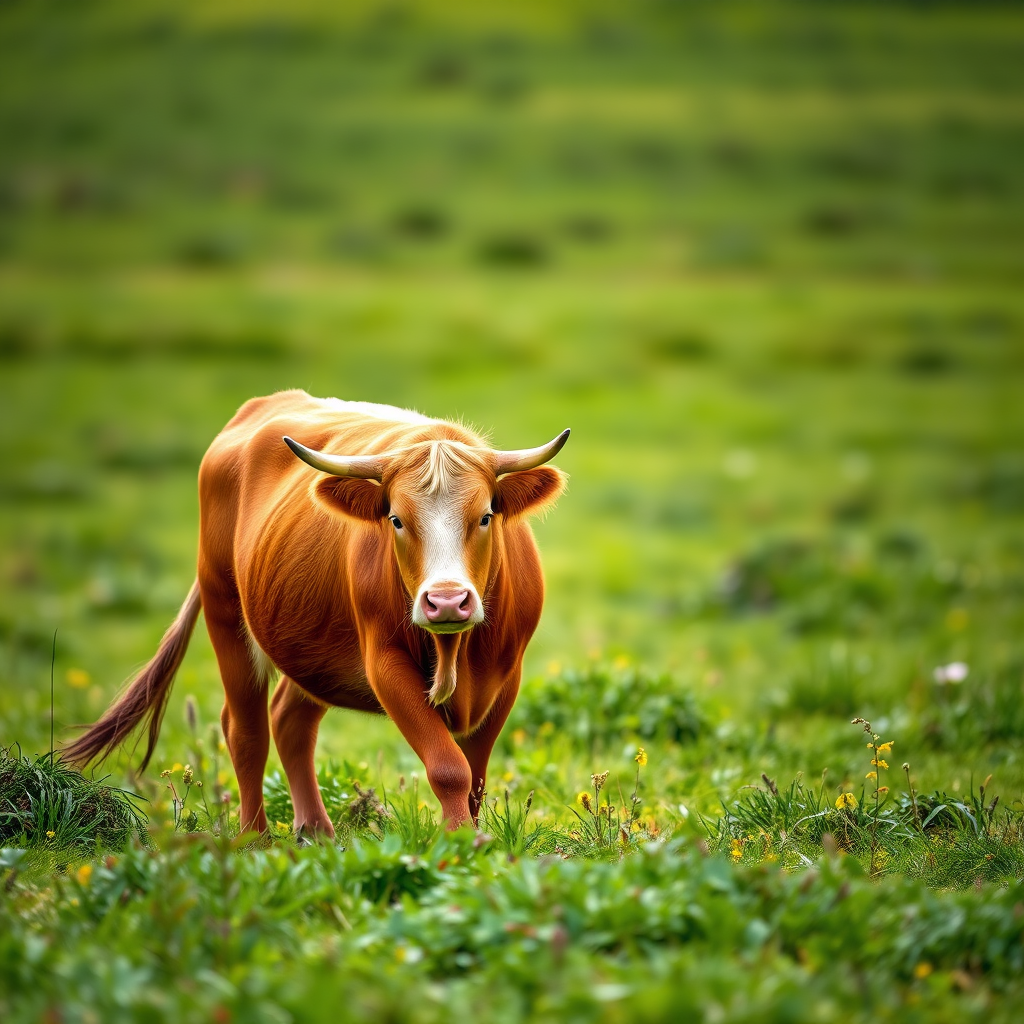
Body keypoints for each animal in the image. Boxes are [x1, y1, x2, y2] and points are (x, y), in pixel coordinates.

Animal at [65, 390, 569, 836]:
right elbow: (450, 768)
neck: (453, 650)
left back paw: (316, 830)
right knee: (246, 732)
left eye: (484, 516)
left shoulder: (506, 675)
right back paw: (254, 839)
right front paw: (460, 842)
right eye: (396, 520)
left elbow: (476, 774)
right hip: (224, 609)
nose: (446, 601)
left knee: (290, 721)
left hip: (310, 643)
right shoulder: (384, 663)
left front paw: (475, 840)